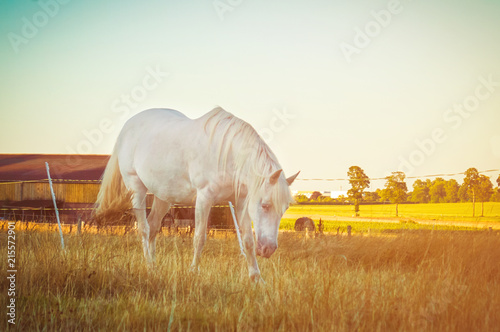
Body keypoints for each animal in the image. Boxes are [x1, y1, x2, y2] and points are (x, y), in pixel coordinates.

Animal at [95, 107, 298, 280]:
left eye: (284, 209)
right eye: (265, 205)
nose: (269, 249)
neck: (228, 154)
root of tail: (127, 125)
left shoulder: (241, 202)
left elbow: (248, 241)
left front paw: (256, 278)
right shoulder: (204, 198)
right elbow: (199, 238)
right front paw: (193, 272)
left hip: (163, 196)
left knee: (153, 226)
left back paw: (155, 266)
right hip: (137, 189)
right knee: (144, 229)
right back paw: (149, 267)